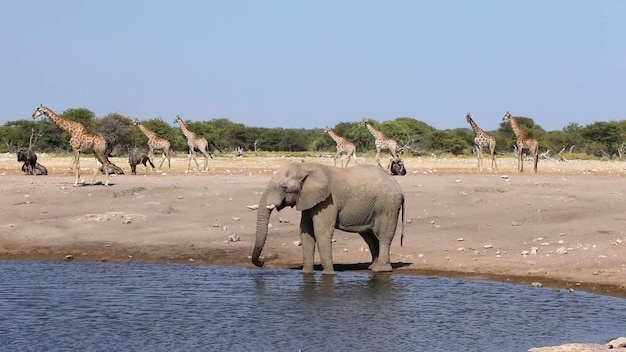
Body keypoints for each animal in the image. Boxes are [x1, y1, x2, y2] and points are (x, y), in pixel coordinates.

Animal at [252, 162, 404, 276]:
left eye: (284, 187)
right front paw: (306, 273)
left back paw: (381, 270)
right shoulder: (308, 199)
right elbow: (305, 232)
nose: (262, 262)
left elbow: (321, 232)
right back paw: (372, 267)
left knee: (383, 235)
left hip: (388, 204)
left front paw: (329, 274)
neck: (306, 167)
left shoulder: (328, 201)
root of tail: (398, 186)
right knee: (369, 237)